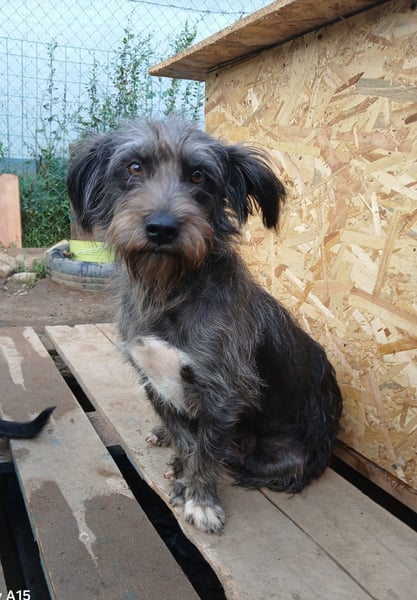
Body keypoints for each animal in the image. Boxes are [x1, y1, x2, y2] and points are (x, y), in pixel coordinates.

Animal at [67, 118, 342, 533]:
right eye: (134, 167)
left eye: (199, 176)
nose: (161, 228)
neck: (166, 288)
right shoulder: (152, 378)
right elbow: (187, 441)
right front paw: (182, 471)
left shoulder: (222, 393)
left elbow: (206, 450)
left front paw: (200, 499)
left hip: (273, 454)